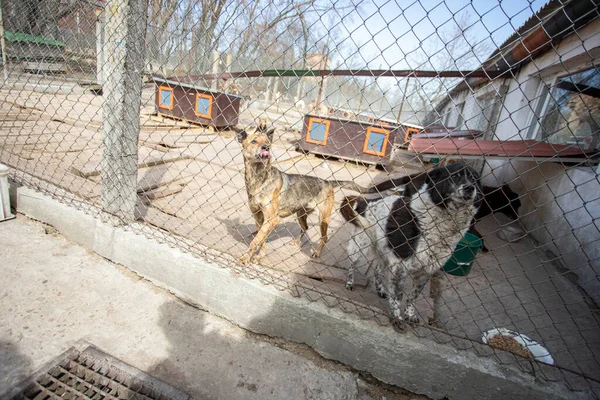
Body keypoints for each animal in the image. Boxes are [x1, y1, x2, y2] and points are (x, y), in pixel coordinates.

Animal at [237, 123, 364, 264]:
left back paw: (316, 252)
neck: (258, 177)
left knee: (324, 237)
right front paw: (259, 256)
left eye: (267, 142)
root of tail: (328, 182)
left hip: (323, 218)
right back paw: (297, 241)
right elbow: (261, 239)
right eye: (254, 141)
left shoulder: (272, 219)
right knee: (306, 227)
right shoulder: (259, 216)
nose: (266, 147)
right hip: (301, 214)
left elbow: (256, 240)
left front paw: (246, 257)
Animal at [342, 162, 482, 328]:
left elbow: (413, 296)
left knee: (377, 270)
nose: (470, 188)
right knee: (352, 264)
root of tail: (369, 202)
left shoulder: (425, 271)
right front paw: (397, 317)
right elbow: (398, 296)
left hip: (385, 251)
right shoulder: (400, 267)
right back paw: (350, 282)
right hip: (360, 245)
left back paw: (380, 290)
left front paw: (410, 314)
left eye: (474, 179)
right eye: (454, 176)